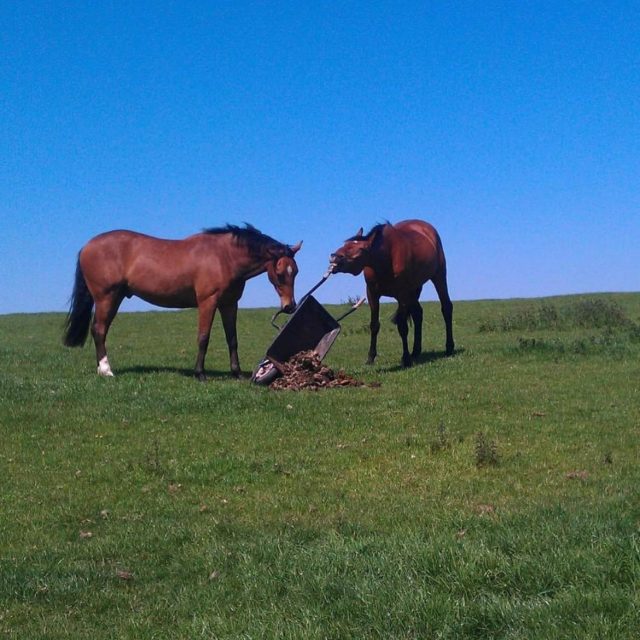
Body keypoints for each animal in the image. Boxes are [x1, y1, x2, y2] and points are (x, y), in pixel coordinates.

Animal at [63, 224, 302, 380]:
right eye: (280, 273)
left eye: (296, 271)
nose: (289, 306)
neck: (223, 256)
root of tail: (87, 246)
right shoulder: (208, 302)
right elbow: (203, 338)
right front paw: (200, 374)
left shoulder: (229, 304)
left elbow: (232, 339)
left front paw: (236, 373)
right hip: (107, 298)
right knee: (99, 330)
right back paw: (106, 370)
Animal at [330, 220, 456, 368]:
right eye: (345, 244)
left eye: (360, 249)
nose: (334, 257)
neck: (386, 260)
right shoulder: (372, 294)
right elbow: (374, 325)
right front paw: (370, 357)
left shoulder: (402, 295)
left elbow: (402, 327)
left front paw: (406, 359)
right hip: (413, 290)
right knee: (418, 314)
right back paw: (416, 351)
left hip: (438, 276)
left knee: (446, 307)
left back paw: (449, 348)